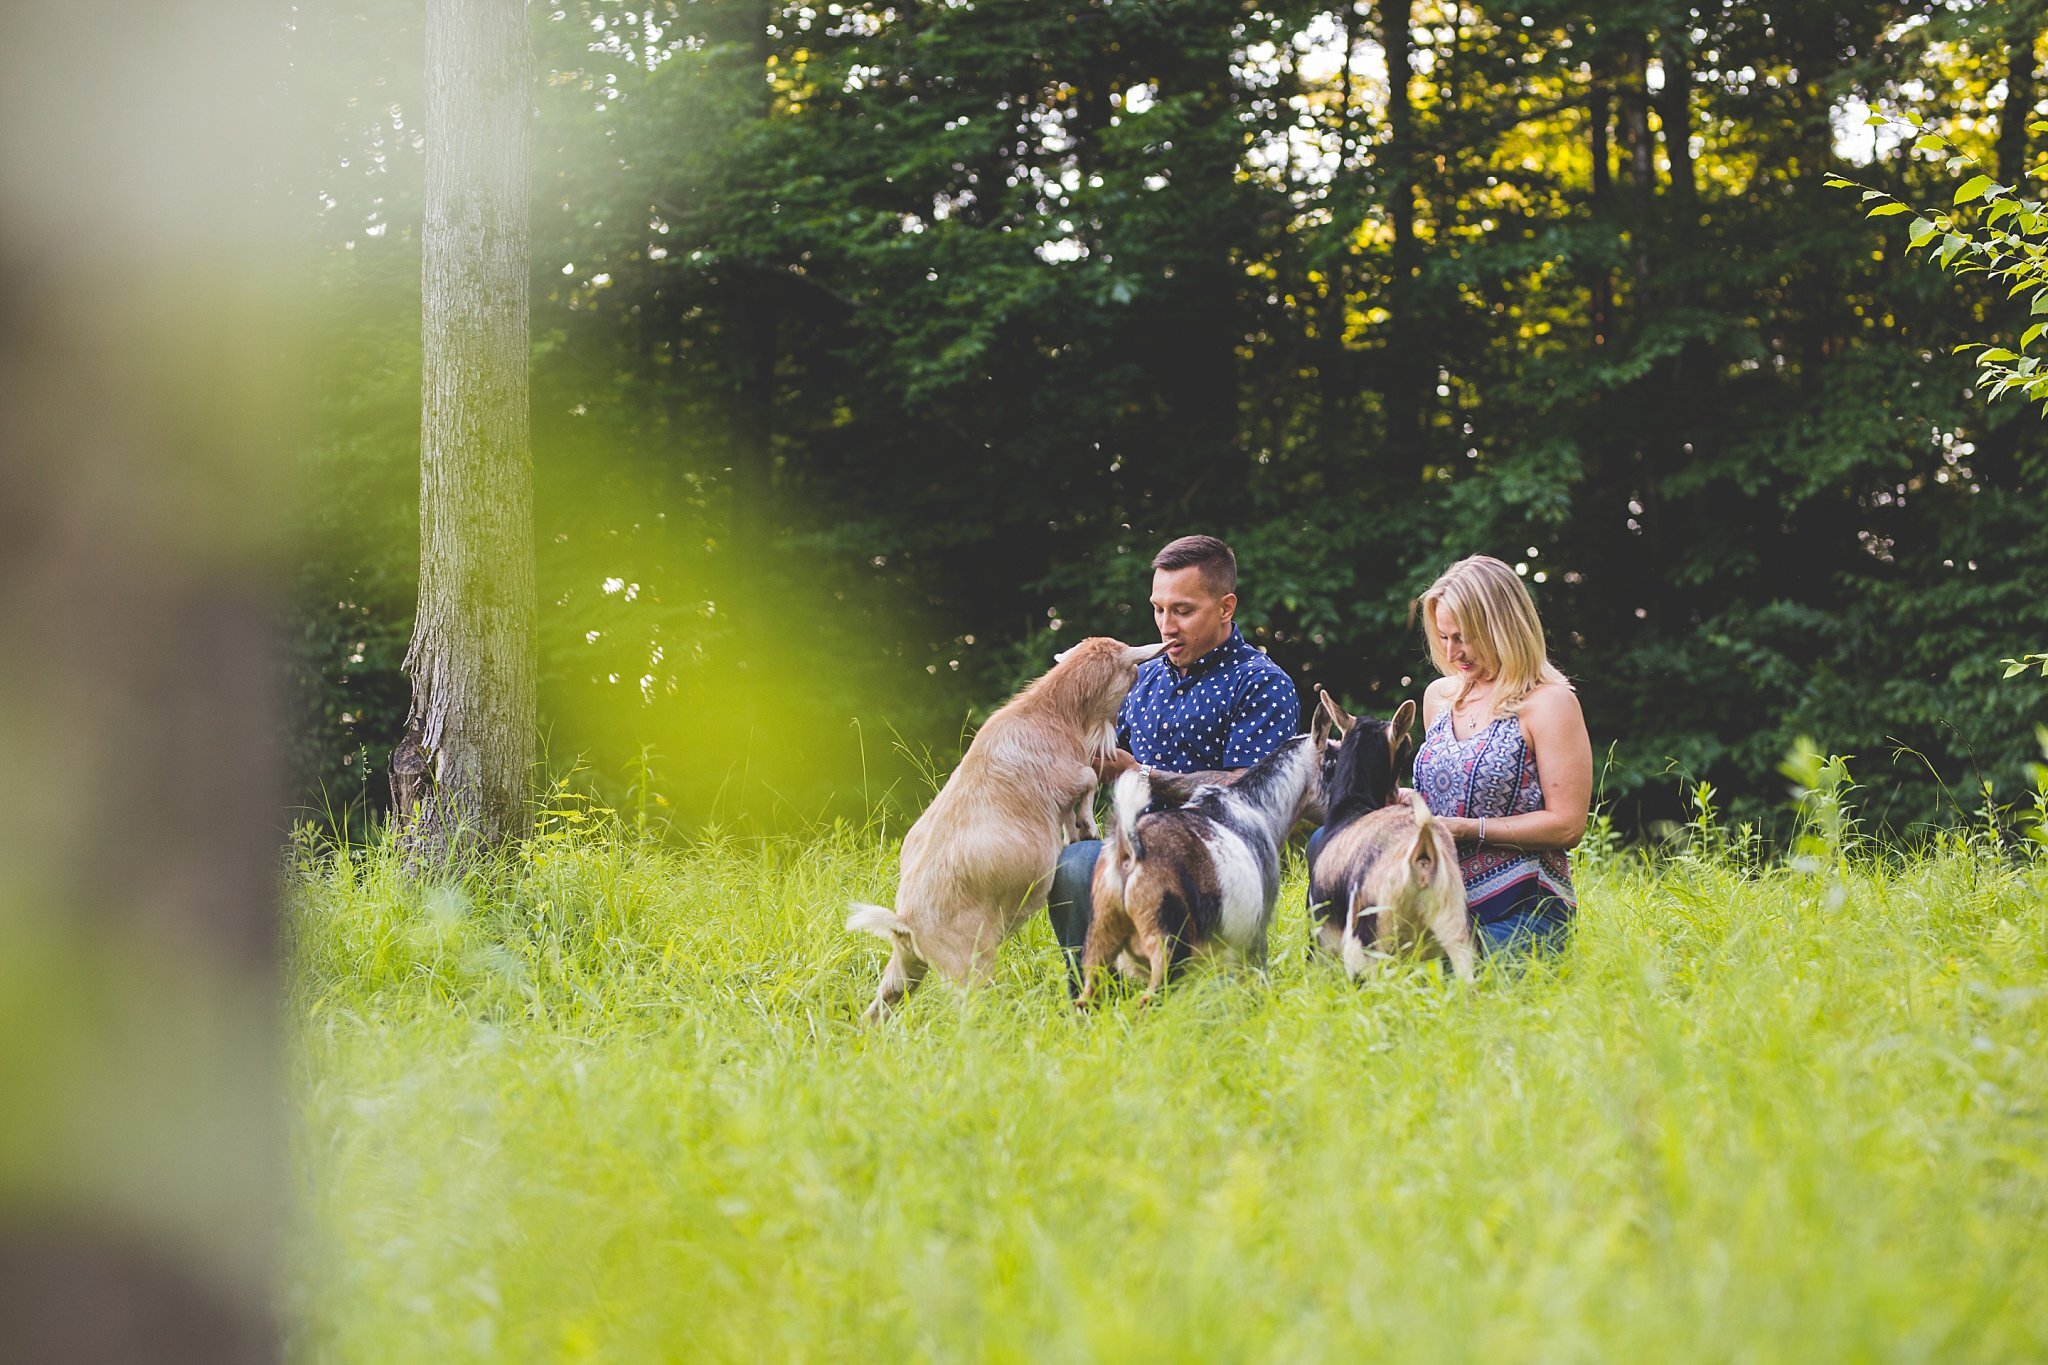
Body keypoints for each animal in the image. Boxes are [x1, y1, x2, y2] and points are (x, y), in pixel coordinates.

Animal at [847, 642, 1163, 1023]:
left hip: (905, 965)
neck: (1054, 712)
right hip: (967, 965)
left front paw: (1075, 832)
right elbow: (1088, 779)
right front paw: (1085, 827)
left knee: (879, 1008)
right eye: (1132, 669)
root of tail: (904, 921)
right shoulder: (1068, 775)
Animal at [1310, 695, 1474, 982]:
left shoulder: (1323, 936)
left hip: (1367, 947)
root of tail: (1422, 853)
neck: (1351, 807)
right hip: (1454, 931)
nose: (1396, 794)